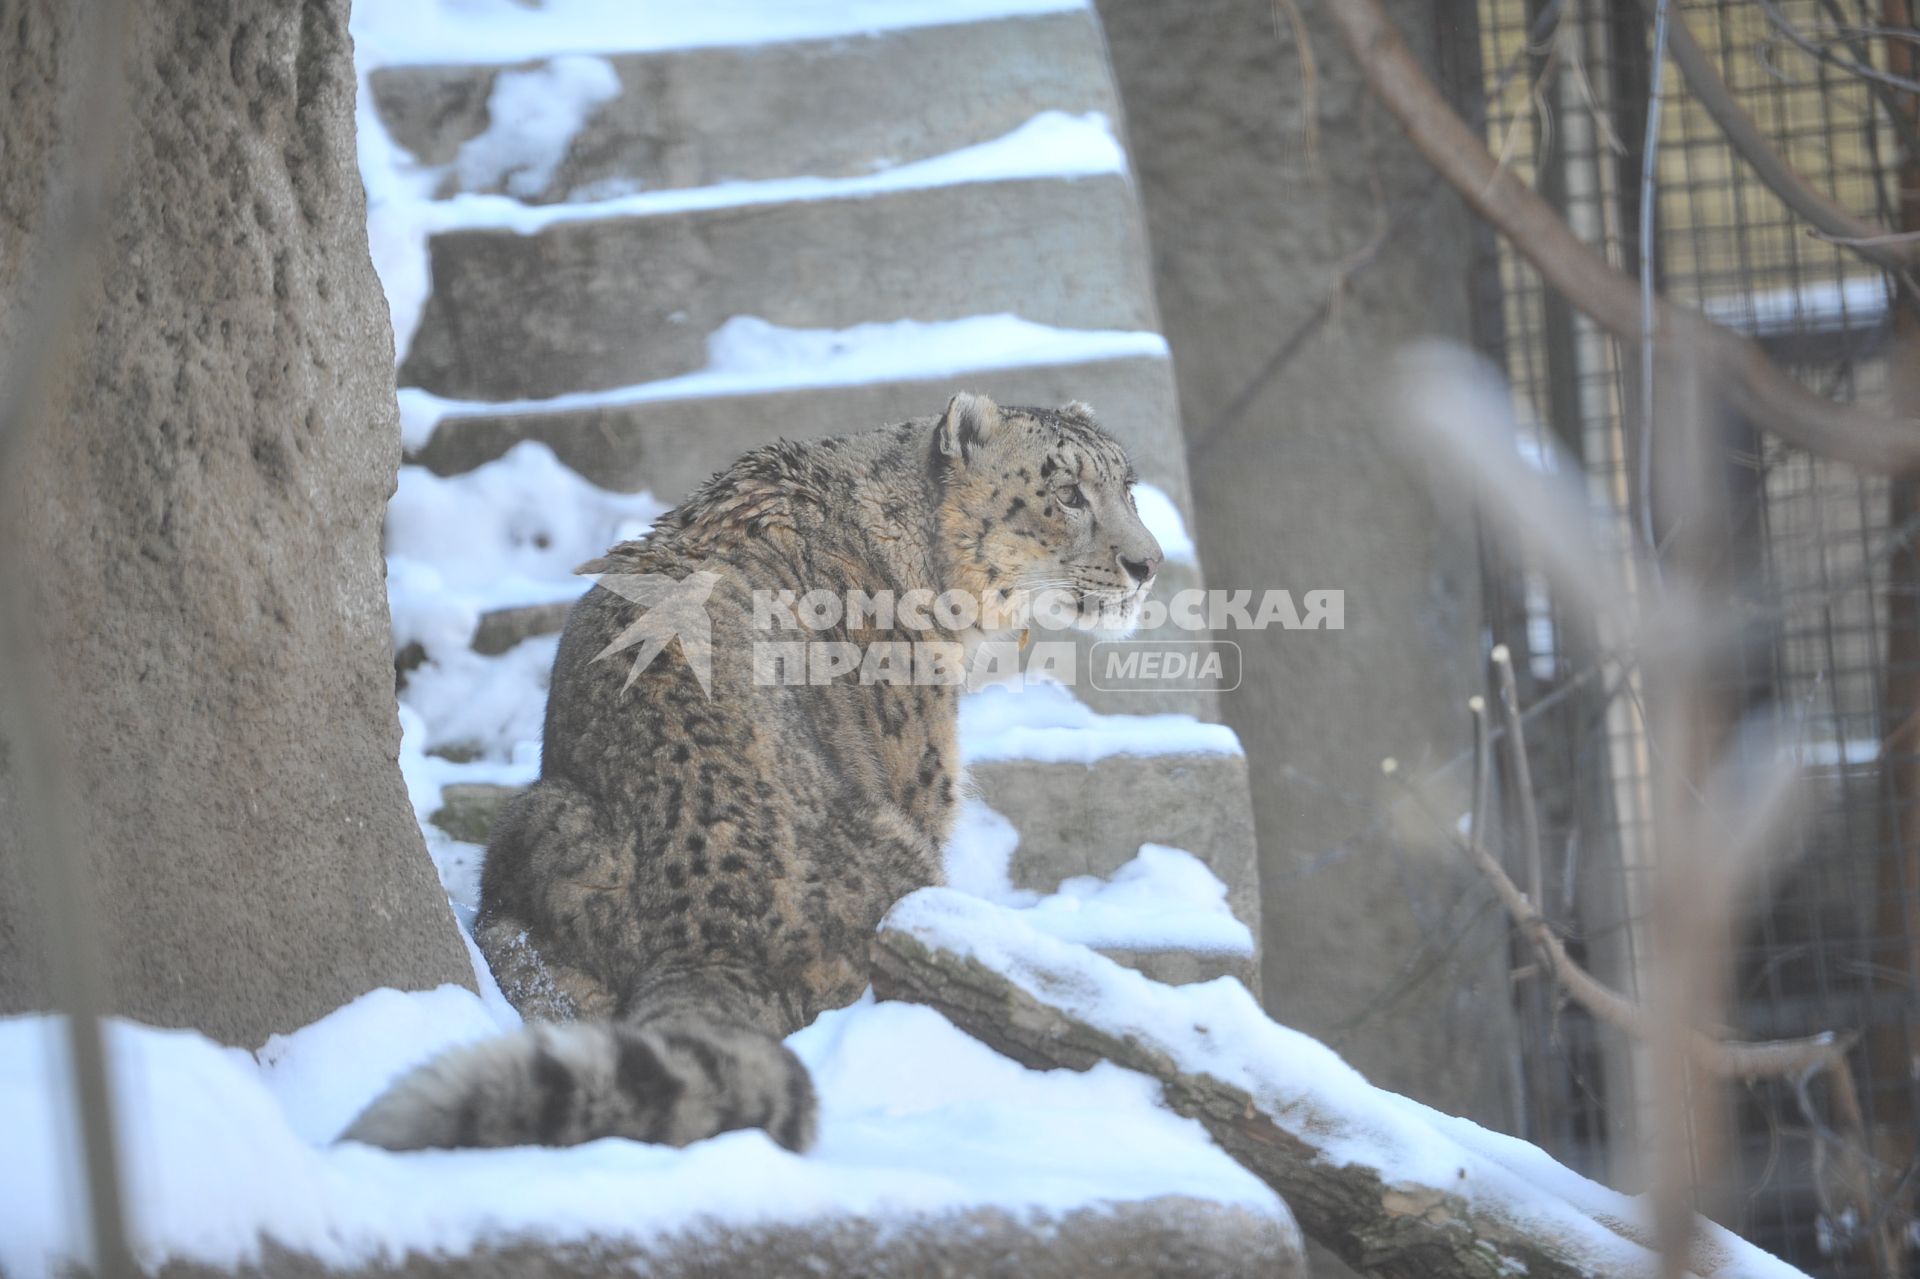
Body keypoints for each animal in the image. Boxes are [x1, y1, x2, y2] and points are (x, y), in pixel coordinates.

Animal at [337, 393, 1159, 1152]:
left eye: (1129, 485)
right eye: (1067, 491)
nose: (1148, 564)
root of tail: (716, 927)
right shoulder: (921, 776)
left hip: (538, 824)